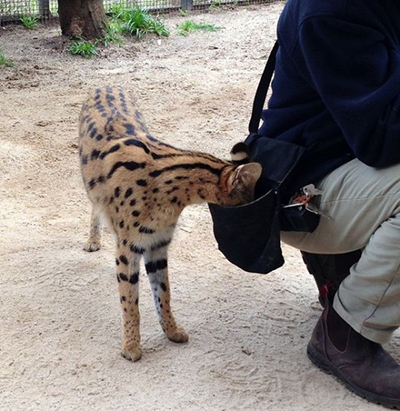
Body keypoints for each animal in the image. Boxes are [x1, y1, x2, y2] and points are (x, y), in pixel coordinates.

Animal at [78, 87, 262, 360]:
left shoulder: (157, 244)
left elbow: (163, 293)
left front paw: (171, 331)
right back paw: (93, 239)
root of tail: (107, 85)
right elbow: (130, 301)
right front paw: (131, 346)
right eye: (251, 198)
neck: (174, 197)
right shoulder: (128, 248)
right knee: (95, 204)